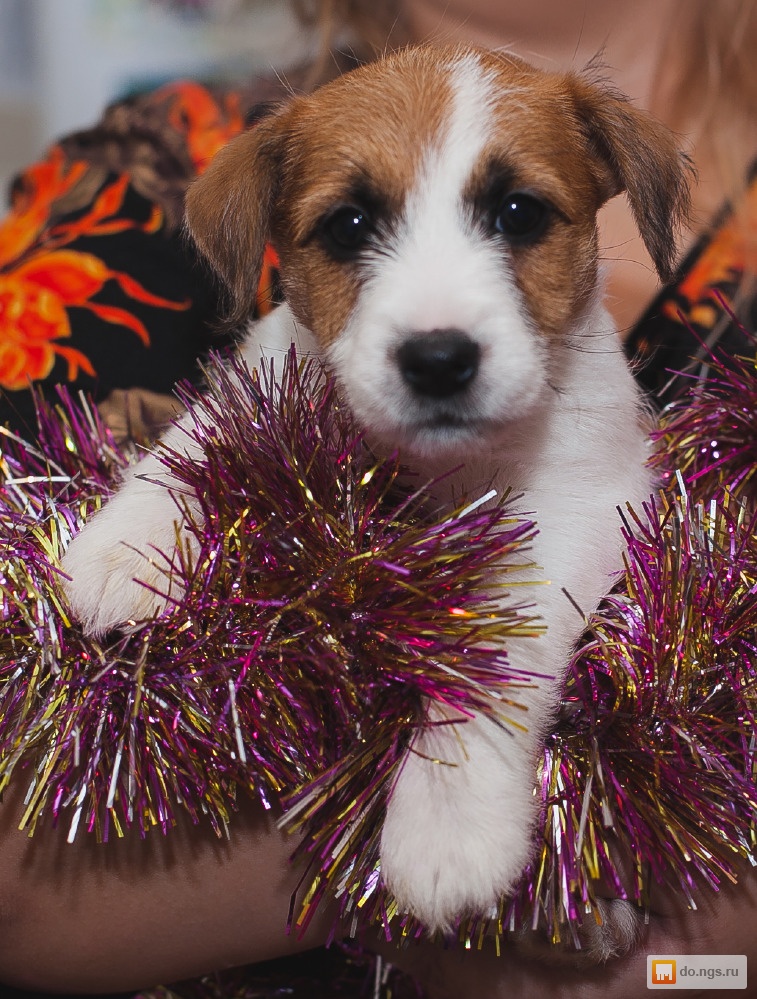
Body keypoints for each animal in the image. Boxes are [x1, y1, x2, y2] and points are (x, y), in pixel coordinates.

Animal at [62, 41, 692, 944]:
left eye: (518, 214)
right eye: (349, 226)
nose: (437, 359)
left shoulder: (581, 502)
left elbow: (491, 651)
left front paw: (446, 821)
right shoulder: (269, 373)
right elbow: (203, 434)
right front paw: (127, 544)